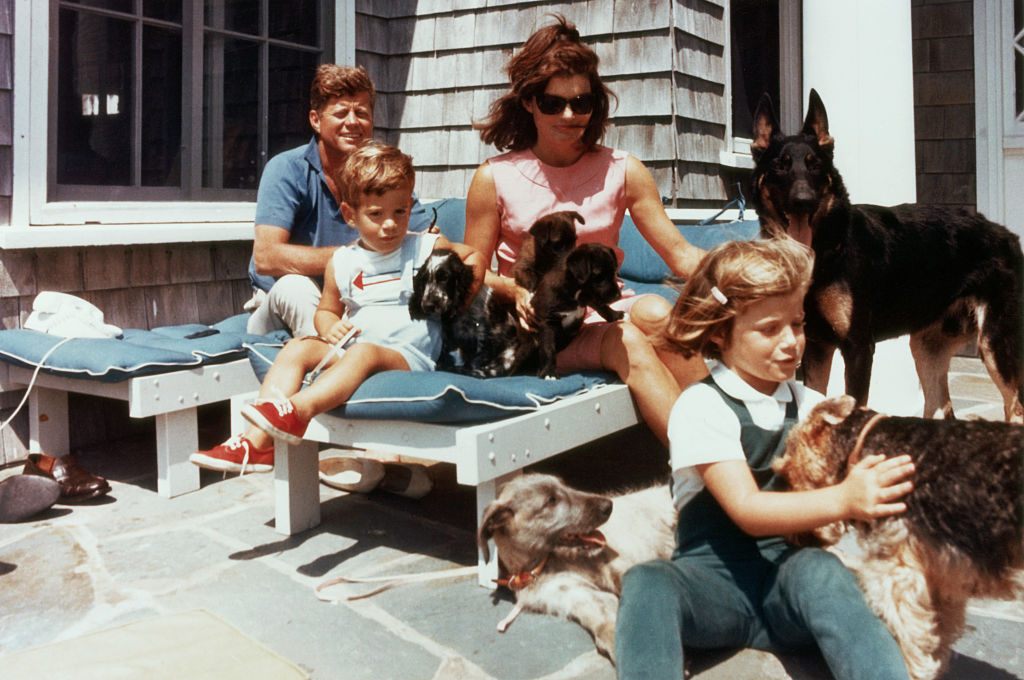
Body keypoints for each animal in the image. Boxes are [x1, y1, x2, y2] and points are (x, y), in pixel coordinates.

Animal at [749, 89, 1019, 419]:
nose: (804, 201)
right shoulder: (816, 347)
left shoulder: (857, 348)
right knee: (941, 407)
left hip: (995, 345)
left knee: (1014, 407)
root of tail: (1006, 234)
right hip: (926, 349)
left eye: (815, 165)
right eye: (780, 165)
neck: (827, 250)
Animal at [774, 393, 1024, 680]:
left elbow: (911, 642)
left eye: (784, 470)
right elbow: (937, 635)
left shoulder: (897, 574)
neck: (865, 446)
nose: (791, 537)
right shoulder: (941, 577)